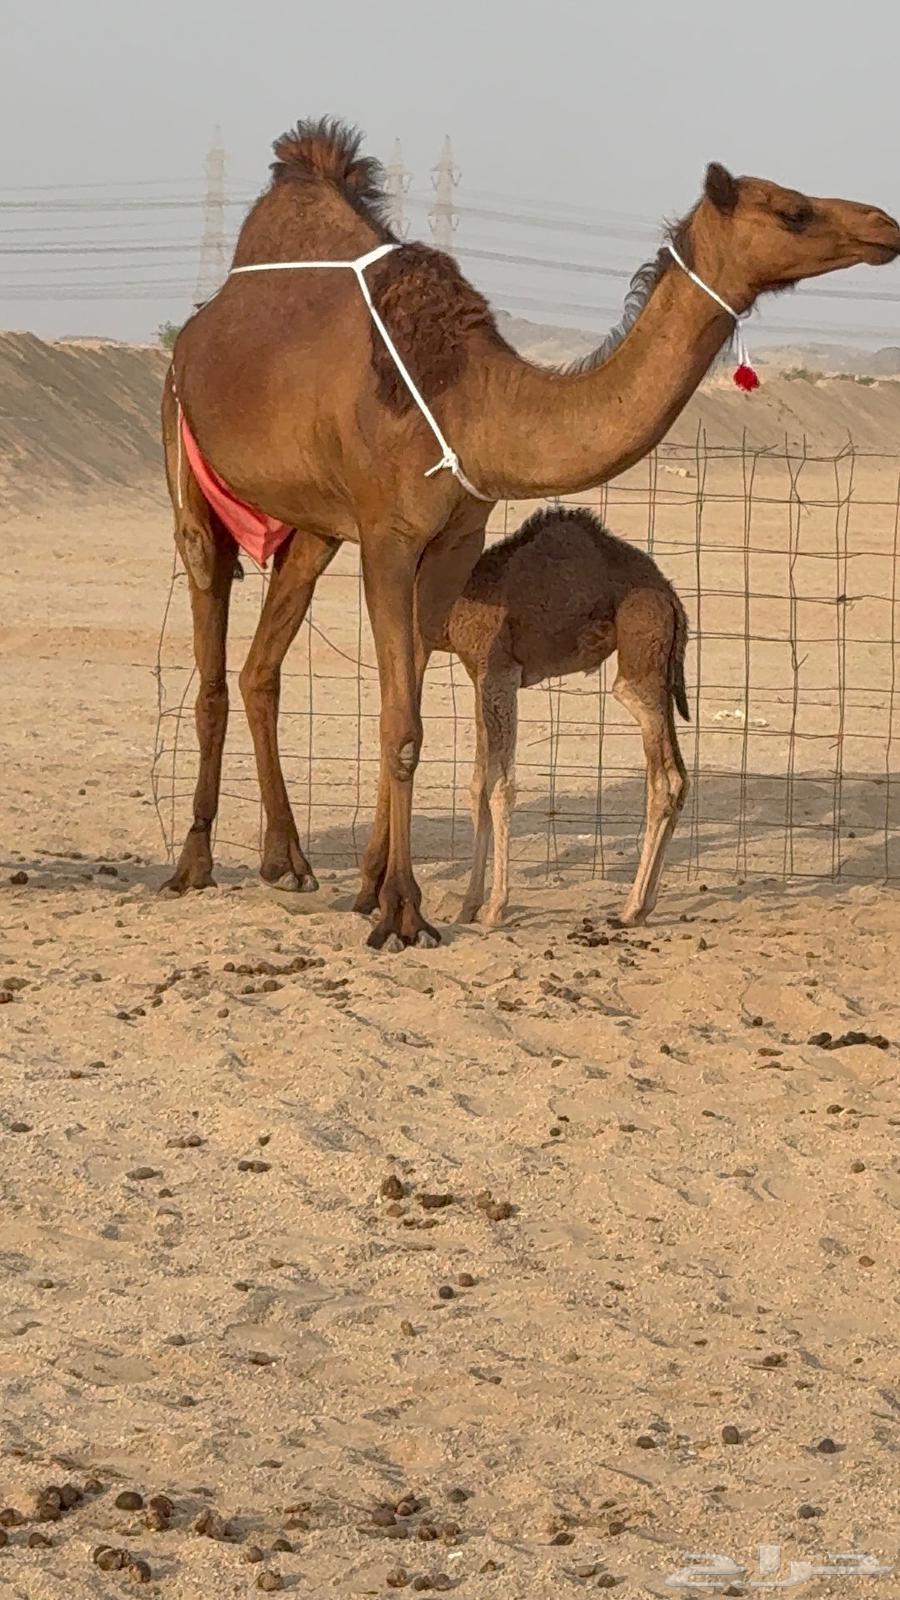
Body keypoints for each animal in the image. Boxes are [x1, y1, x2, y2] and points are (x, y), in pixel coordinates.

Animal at [438, 505, 689, 929]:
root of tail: (671, 599)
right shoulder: (479, 677)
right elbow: (477, 786)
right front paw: (467, 905)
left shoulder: (500, 673)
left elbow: (501, 787)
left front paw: (495, 907)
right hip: (662, 674)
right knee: (681, 778)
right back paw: (644, 906)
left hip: (639, 658)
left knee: (665, 780)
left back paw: (630, 908)